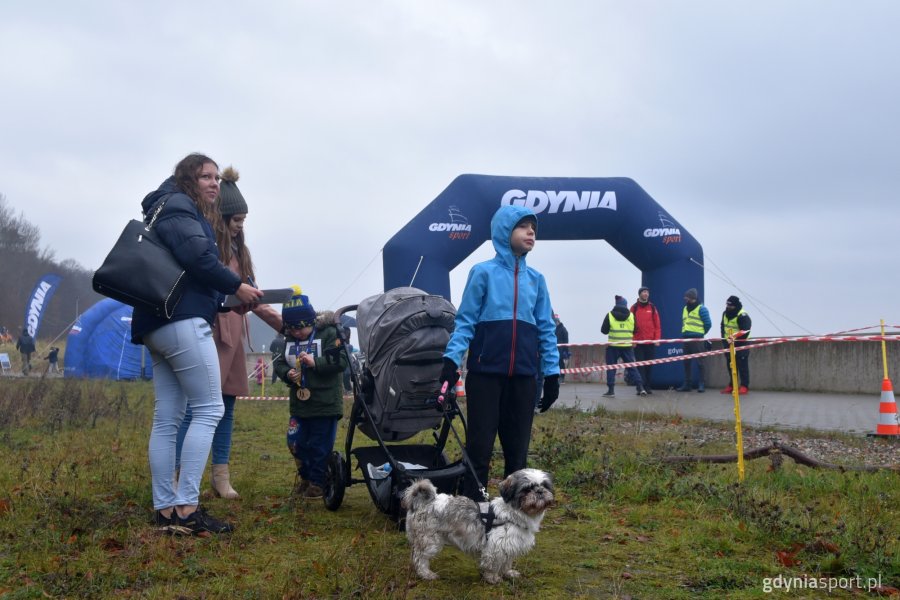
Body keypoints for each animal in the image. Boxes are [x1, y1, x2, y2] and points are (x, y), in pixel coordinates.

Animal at [402, 466, 556, 584]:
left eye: (545, 486)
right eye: (527, 489)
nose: (540, 491)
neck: (513, 514)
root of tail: (423, 502)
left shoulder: (510, 545)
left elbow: (507, 562)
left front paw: (508, 573)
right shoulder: (495, 547)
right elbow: (492, 566)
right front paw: (493, 578)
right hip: (429, 541)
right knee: (420, 558)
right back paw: (426, 574)